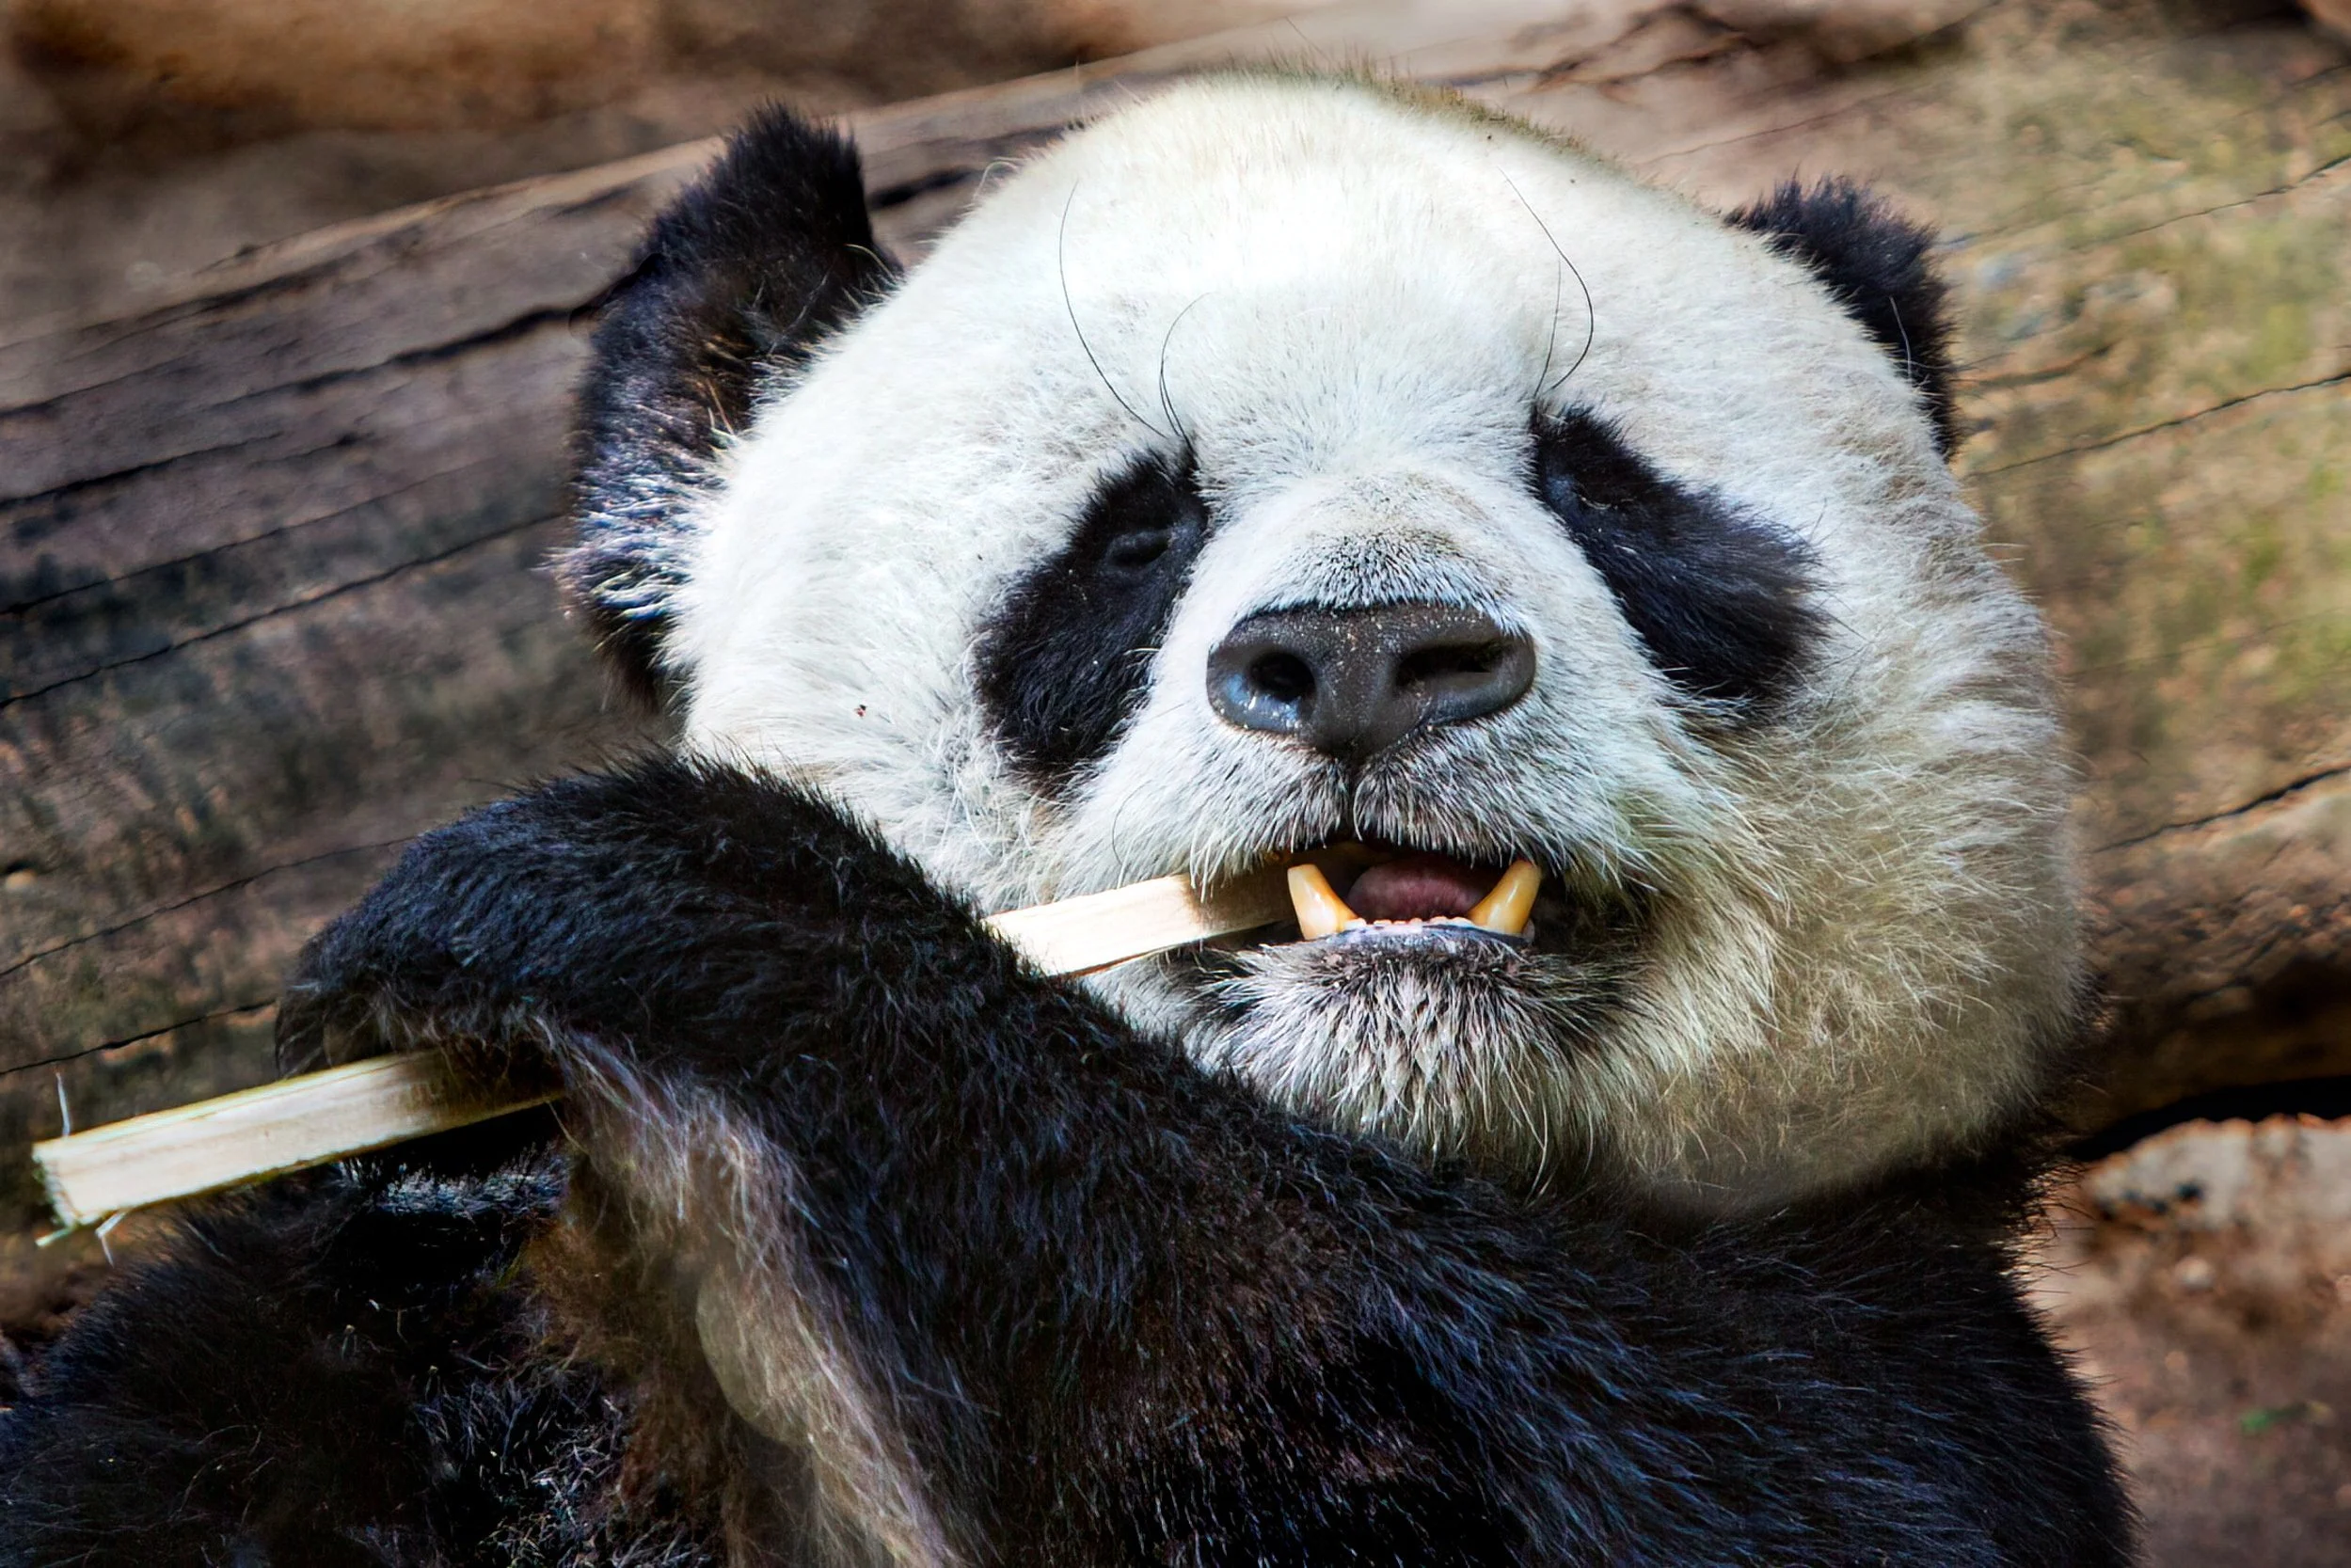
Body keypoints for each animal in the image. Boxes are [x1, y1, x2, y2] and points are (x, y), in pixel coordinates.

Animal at [0, 76, 2130, 1566]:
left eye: (1601, 485)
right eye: (1133, 532)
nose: (1367, 653)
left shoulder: (1888, 1341)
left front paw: (658, 903)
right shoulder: (417, 1354)